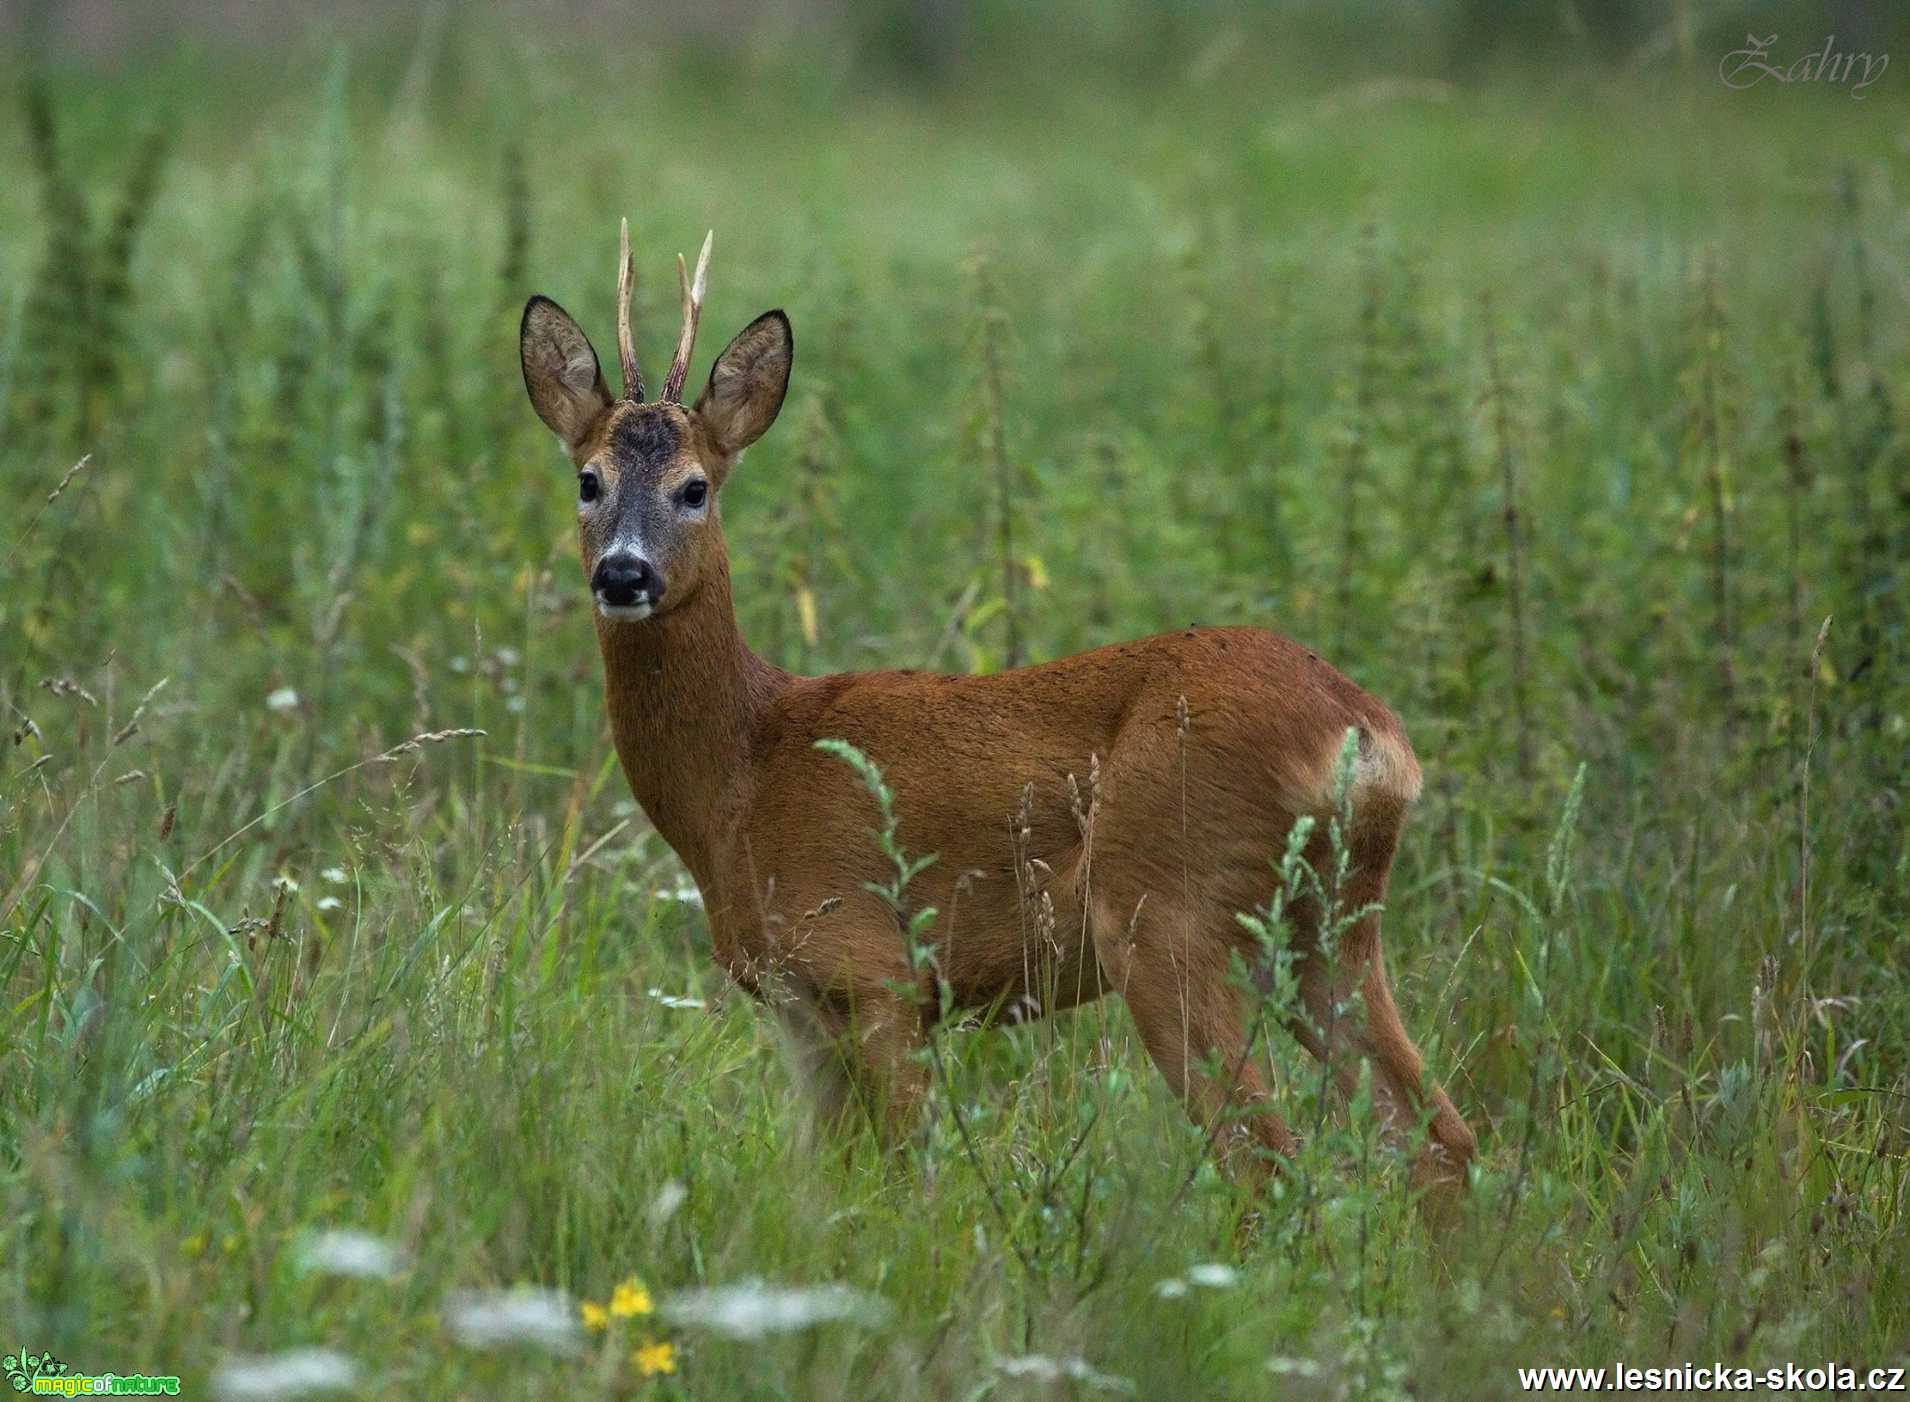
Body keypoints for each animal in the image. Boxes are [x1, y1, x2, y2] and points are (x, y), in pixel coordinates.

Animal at [523, 225, 1474, 1214]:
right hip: (1325, 928)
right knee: (1436, 1132)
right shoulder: (798, 1004)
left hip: (1167, 909)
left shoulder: (877, 970)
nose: (624, 574)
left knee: (1268, 1154)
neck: (741, 774)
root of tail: (1368, 737)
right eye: (587, 480)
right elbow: (820, 1184)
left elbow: (907, 1179)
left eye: (695, 487)